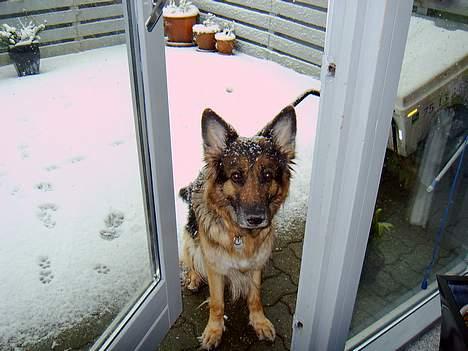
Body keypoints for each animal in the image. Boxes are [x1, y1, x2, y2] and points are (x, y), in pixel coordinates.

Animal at [178, 89, 318, 350]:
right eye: (236, 176)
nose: (256, 219)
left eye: (267, 175)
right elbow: (217, 303)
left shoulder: (257, 265)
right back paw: (193, 278)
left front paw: (259, 322)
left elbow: (255, 298)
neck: (241, 235)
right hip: (190, 239)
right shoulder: (215, 268)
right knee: (190, 260)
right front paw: (214, 331)